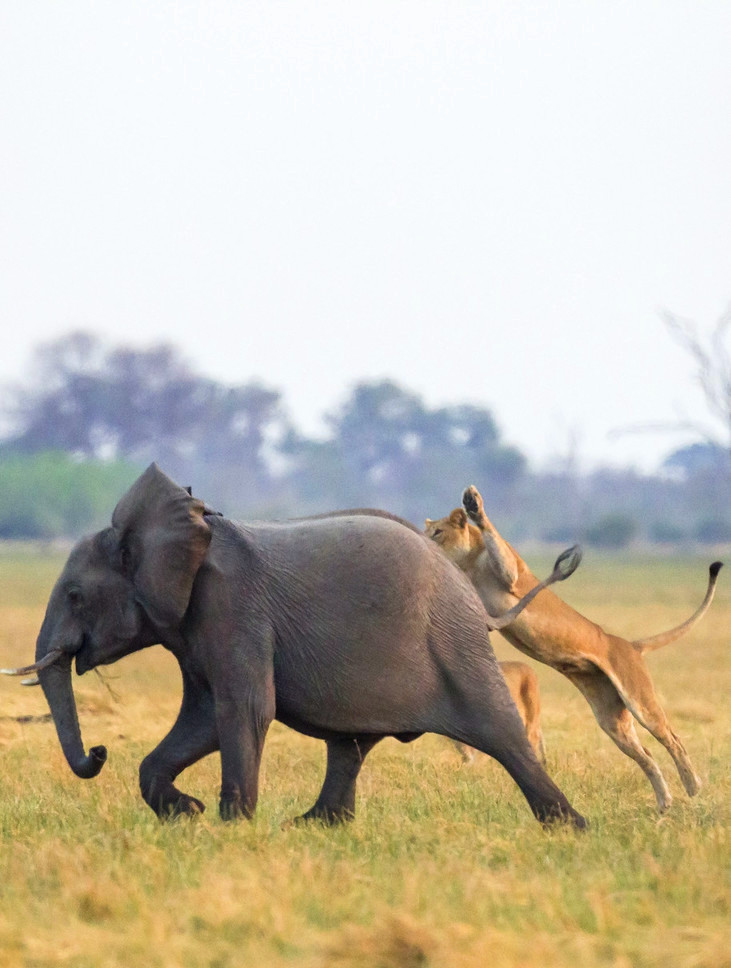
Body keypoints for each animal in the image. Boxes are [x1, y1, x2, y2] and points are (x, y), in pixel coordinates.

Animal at [4, 466, 588, 828]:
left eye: (75, 596)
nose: (99, 752)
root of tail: (473, 598)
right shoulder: (194, 627)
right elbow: (204, 717)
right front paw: (189, 814)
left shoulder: (233, 607)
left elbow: (244, 709)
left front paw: (231, 826)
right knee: (350, 745)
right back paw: (312, 826)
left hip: (454, 643)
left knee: (500, 732)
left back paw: (570, 829)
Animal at [426, 488, 724, 812]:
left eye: (438, 532)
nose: (420, 539)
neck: (468, 563)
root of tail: (630, 644)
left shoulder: (513, 575)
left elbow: (493, 535)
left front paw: (474, 505)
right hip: (611, 717)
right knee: (645, 755)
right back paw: (663, 803)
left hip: (638, 699)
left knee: (672, 737)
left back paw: (692, 786)